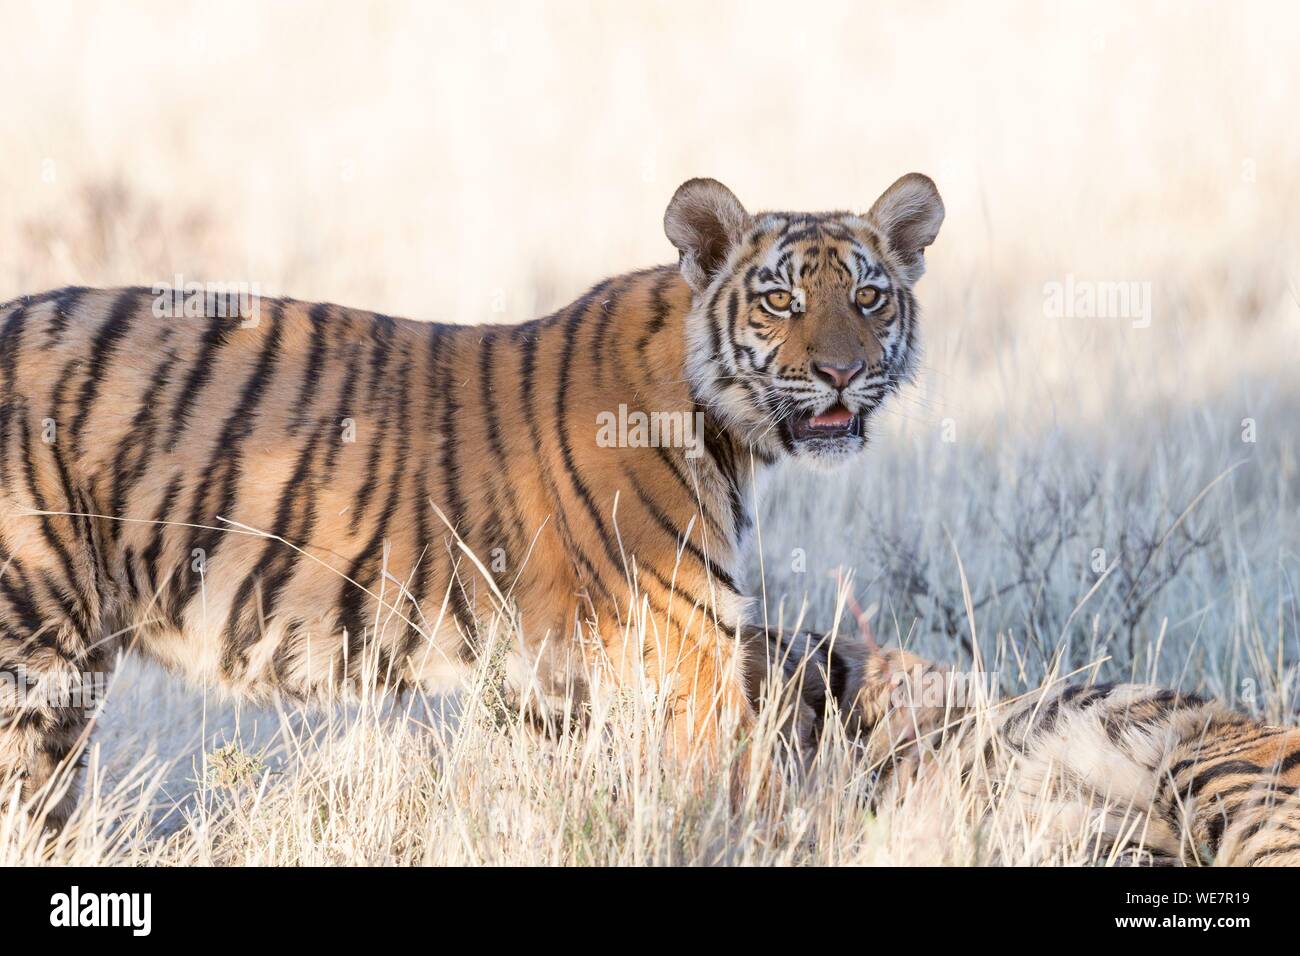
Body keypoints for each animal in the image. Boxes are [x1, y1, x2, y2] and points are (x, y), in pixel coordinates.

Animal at [0, 171, 941, 822]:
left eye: (869, 296)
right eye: (780, 299)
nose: (842, 373)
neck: (722, 425)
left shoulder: (553, 683)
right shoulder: (687, 651)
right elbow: (748, 788)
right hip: (32, 649)